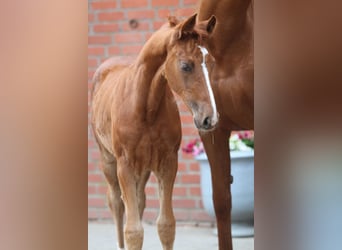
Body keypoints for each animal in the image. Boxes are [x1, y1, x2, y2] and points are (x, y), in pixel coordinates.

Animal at [91, 15, 218, 250]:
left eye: (211, 62)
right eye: (186, 66)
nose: (210, 118)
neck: (145, 108)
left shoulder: (168, 162)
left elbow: (166, 225)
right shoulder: (124, 165)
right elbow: (133, 231)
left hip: (143, 167)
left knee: (139, 201)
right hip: (108, 160)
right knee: (116, 203)